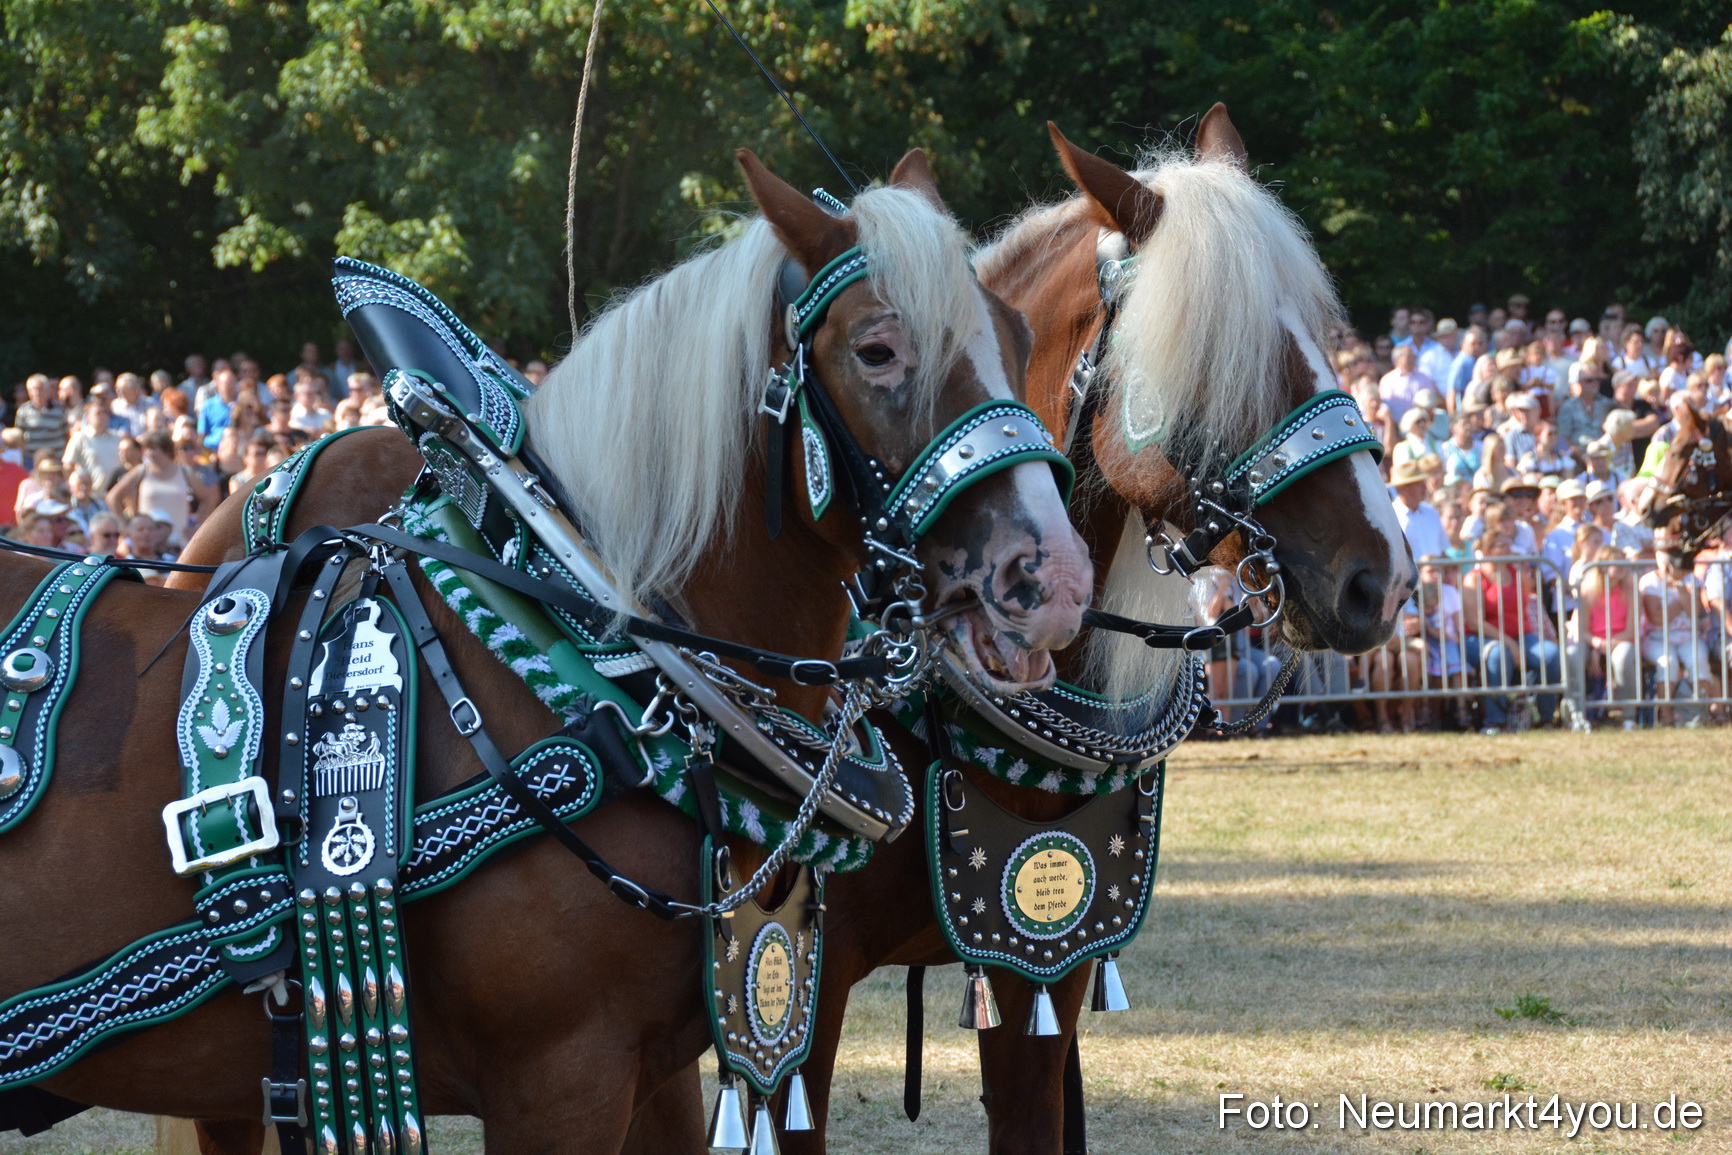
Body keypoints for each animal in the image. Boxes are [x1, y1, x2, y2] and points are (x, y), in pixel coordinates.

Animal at [0, 148, 1091, 1154]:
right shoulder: (559, 1079)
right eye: (876, 349)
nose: (1053, 579)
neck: (593, 674)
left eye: (1020, 336)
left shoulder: (658, 1069)